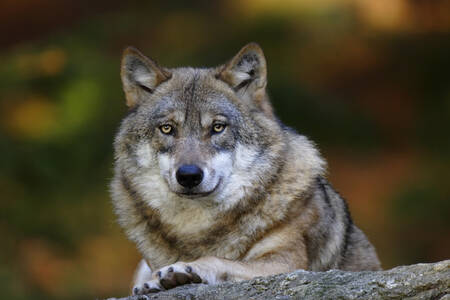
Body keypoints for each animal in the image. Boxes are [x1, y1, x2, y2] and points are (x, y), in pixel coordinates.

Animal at [109, 42, 380, 296]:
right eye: (167, 128)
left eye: (218, 127)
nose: (188, 176)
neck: (196, 228)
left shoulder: (288, 264)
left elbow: (219, 260)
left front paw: (183, 269)